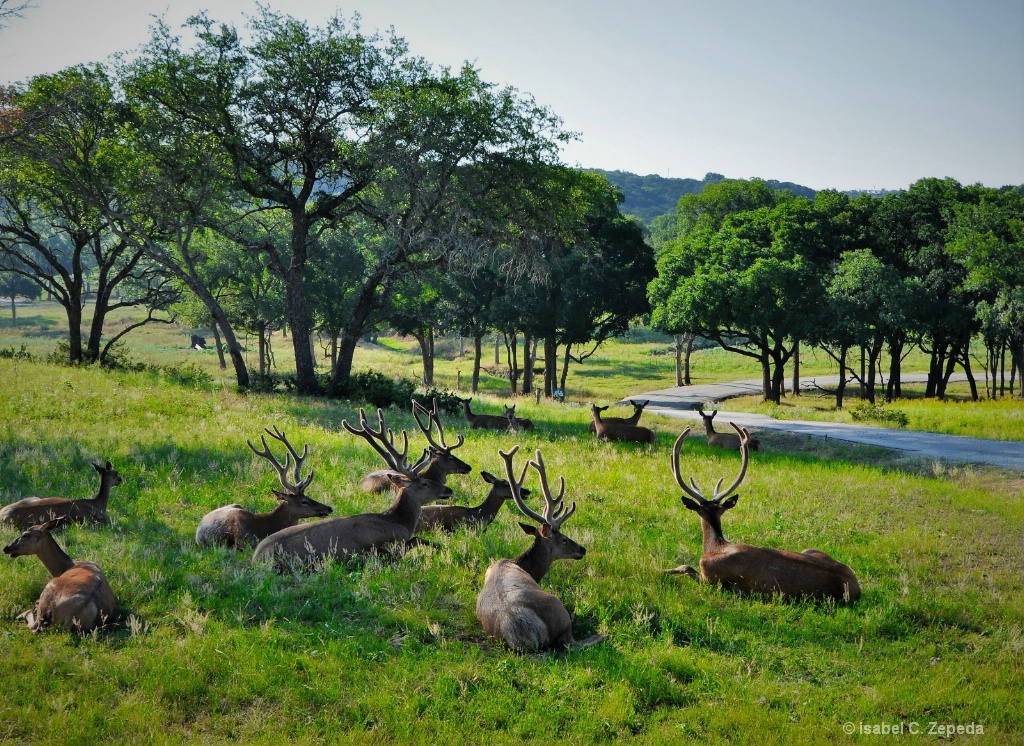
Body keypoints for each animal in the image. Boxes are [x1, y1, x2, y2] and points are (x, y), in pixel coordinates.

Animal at [249, 407, 450, 568]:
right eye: (425, 483)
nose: (449, 490)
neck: (398, 521)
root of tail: (256, 558)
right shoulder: (389, 546)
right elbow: (416, 540)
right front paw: (439, 547)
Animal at [475, 446, 602, 650]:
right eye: (564, 539)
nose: (582, 549)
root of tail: (519, 630)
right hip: (559, 610)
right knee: (572, 642)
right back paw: (600, 633)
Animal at [667, 421, 860, 601]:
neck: (715, 546)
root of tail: (857, 589)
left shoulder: (709, 577)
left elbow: (685, 567)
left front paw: (665, 570)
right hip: (812, 550)